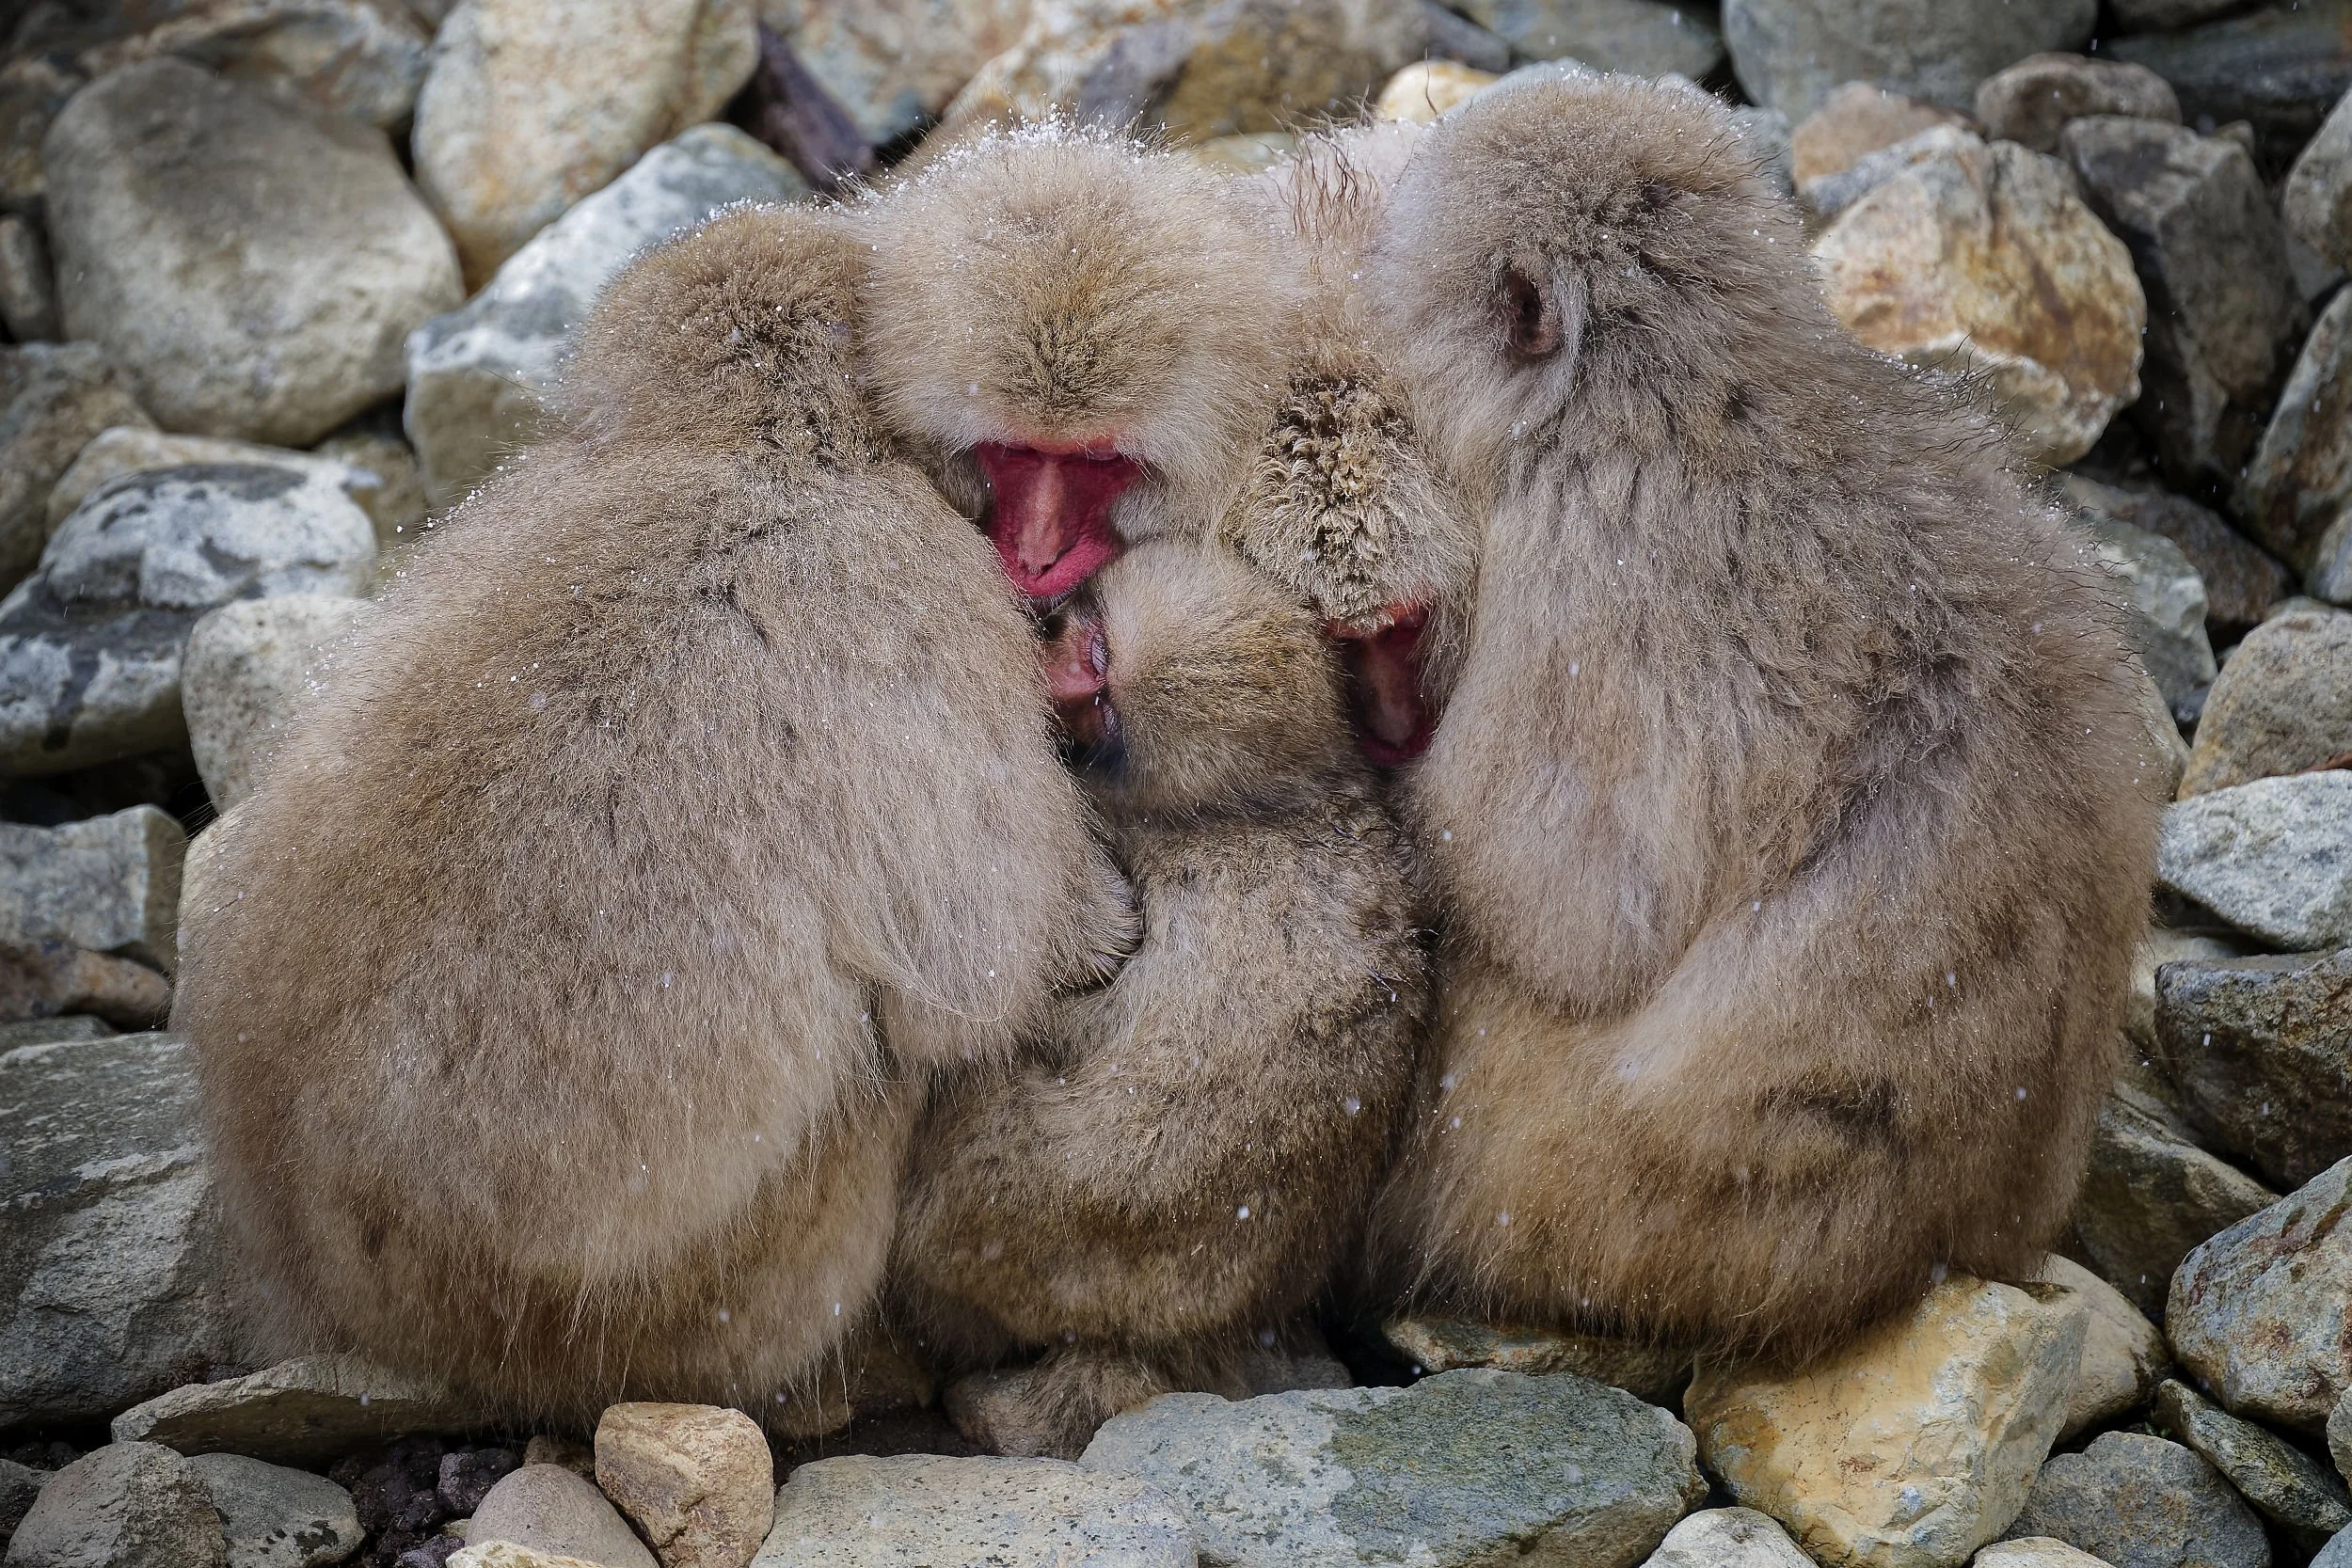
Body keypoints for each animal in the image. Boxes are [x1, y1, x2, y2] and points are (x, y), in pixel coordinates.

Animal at [171, 202, 1138, 1425]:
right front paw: (1092, 925)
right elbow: (965, 969)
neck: (753, 446)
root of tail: (363, 1302)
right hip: (722, 1286)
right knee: (873, 1072)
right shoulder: (927, 593)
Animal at [889, 538, 1431, 1458]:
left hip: (999, 1230)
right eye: (1094, 646)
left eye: (1101, 697)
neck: (1259, 806)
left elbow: (1060, 1008)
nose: (1054, 676)